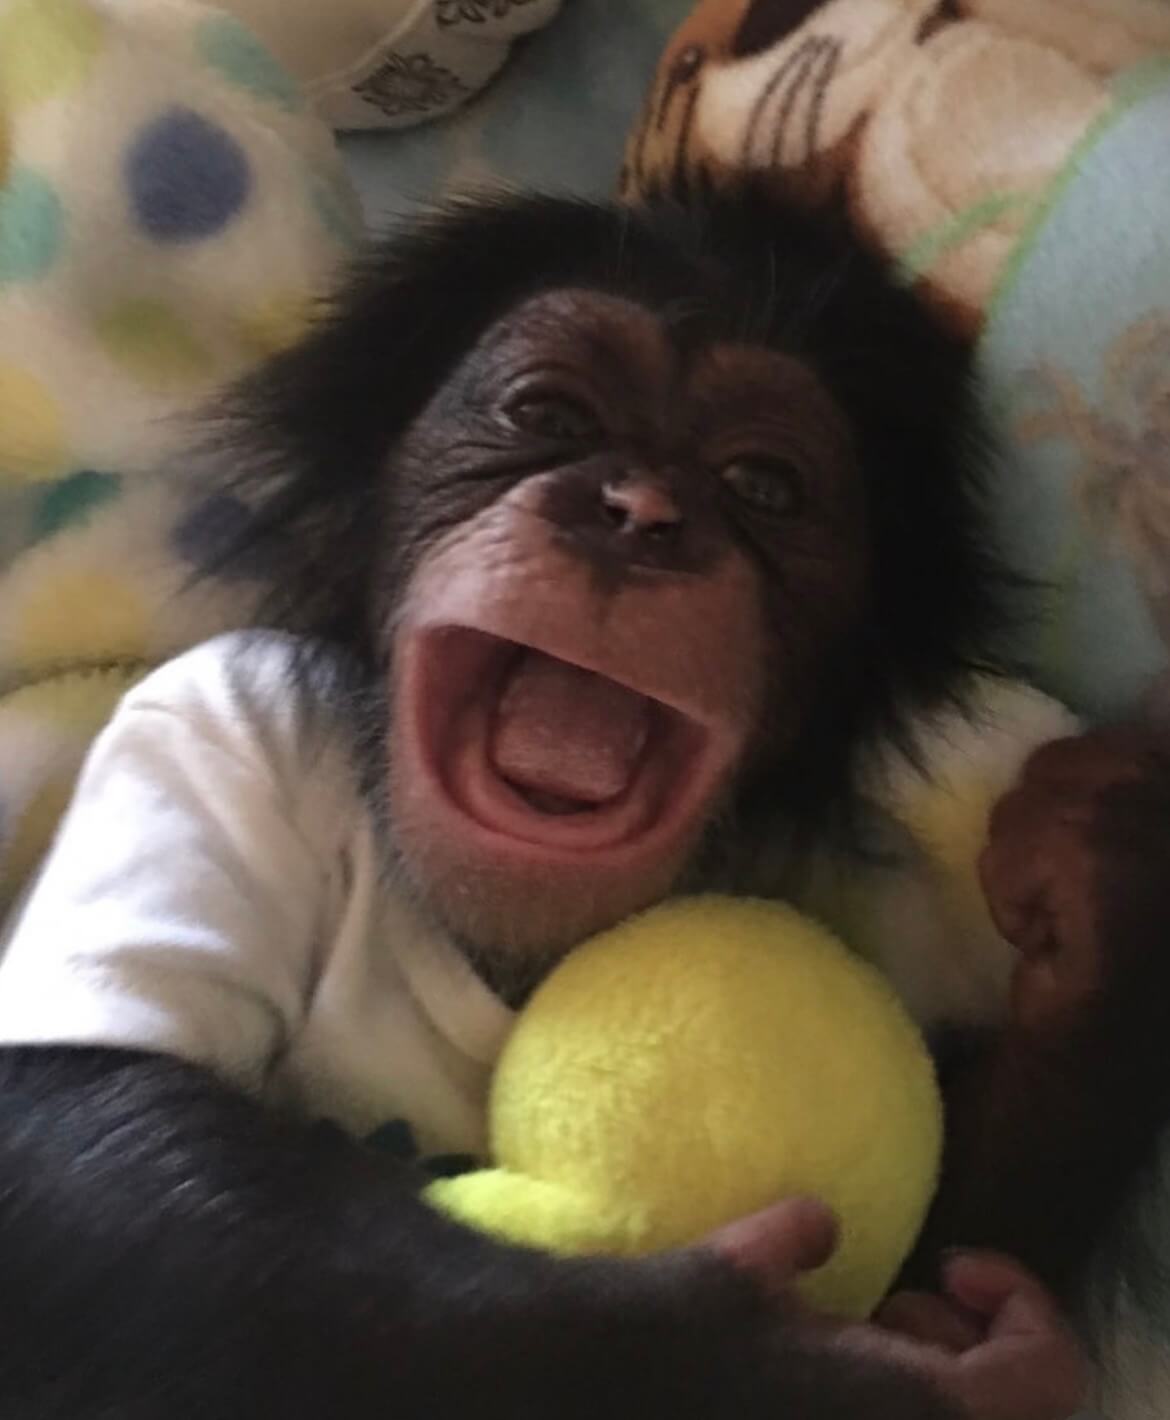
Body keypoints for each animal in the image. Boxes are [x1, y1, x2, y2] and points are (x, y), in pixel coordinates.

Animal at [0, 182, 1165, 1419]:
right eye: (548, 412)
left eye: (762, 485)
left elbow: (955, 1250)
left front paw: (1099, 895)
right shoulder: (211, 721)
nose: (640, 510)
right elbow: (81, 1129)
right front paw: (814, 1372)